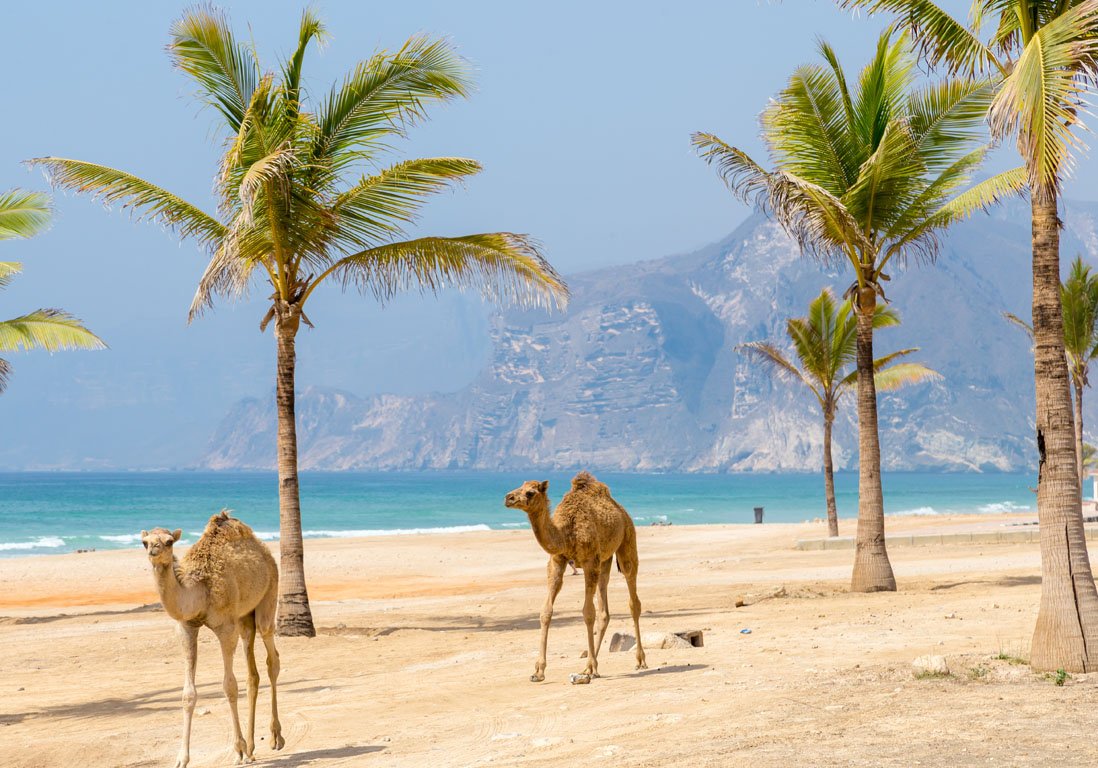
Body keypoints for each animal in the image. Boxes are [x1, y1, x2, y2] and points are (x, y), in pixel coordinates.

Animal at [141, 510, 284, 767]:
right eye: (145, 542)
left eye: (169, 541)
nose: (154, 551)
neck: (199, 590)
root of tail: (264, 551)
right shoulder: (186, 627)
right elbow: (188, 694)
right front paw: (182, 759)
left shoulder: (226, 628)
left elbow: (229, 686)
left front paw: (238, 750)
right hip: (244, 618)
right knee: (252, 673)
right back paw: (252, 748)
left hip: (269, 594)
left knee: (272, 656)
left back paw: (274, 738)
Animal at [504, 471, 647, 682]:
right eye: (520, 487)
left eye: (530, 492)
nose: (509, 498)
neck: (566, 533)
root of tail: (621, 510)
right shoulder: (557, 561)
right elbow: (546, 612)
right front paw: (538, 671)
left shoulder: (589, 562)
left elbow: (588, 612)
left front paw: (590, 666)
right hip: (605, 560)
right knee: (604, 611)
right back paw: (591, 665)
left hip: (627, 541)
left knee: (633, 599)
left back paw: (639, 661)